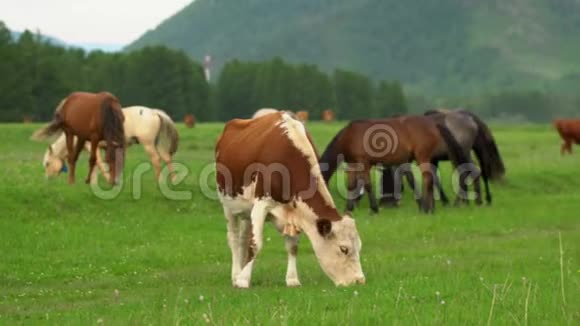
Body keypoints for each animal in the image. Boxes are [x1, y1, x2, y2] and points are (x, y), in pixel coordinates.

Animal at [42, 106, 179, 183]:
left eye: (47, 163)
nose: (48, 179)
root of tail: (154, 112)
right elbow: (100, 165)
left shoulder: (93, 147)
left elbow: (99, 164)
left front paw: (107, 180)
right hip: (157, 143)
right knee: (167, 158)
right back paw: (173, 180)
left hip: (148, 144)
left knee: (156, 159)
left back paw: (159, 181)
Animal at [215, 111, 364, 288]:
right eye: (343, 249)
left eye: (359, 247)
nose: (359, 280)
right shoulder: (261, 204)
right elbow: (256, 244)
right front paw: (243, 280)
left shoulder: (295, 213)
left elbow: (292, 247)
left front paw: (292, 279)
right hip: (228, 206)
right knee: (234, 238)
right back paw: (236, 274)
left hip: (246, 211)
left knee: (243, 239)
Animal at [320, 115, 474, 214]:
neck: (349, 137)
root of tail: (433, 124)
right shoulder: (353, 165)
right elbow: (351, 186)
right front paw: (348, 209)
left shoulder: (364, 164)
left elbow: (368, 185)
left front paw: (374, 209)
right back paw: (430, 208)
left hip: (422, 157)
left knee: (427, 179)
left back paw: (426, 208)